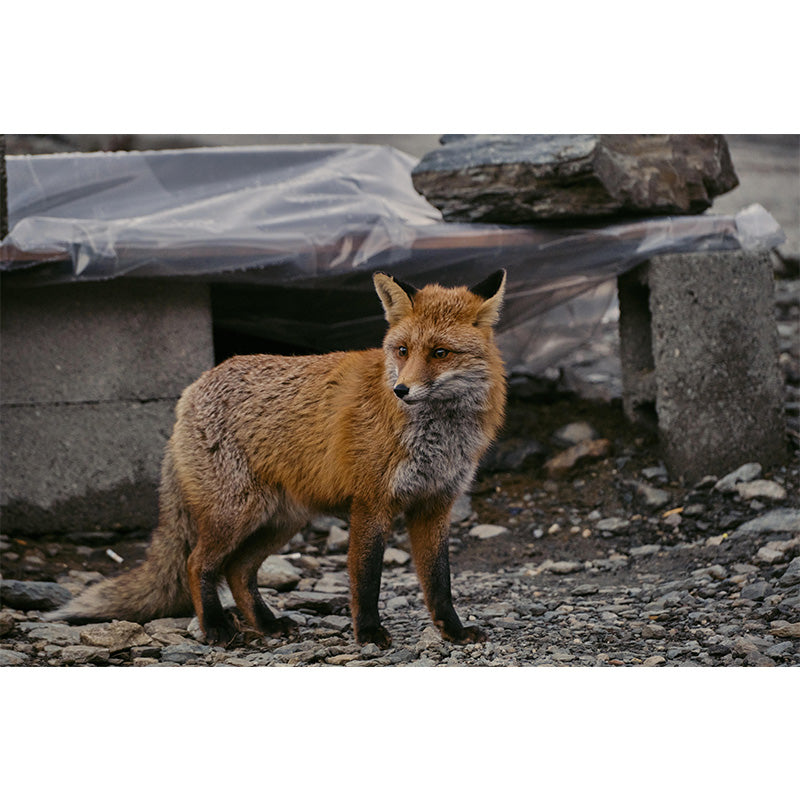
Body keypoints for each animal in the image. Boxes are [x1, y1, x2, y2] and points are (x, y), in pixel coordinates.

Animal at [48, 269, 508, 648]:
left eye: (440, 353)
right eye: (402, 350)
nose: (402, 391)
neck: (438, 435)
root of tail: (194, 387)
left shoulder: (435, 505)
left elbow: (439, 582)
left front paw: (454, 631)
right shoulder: (371, 504)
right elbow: (366, 579)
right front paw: (369, 633)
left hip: (279, 522)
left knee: (237, 571)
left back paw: (267, 625)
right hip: (235, 515)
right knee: (198, 564)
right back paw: (216, 628)